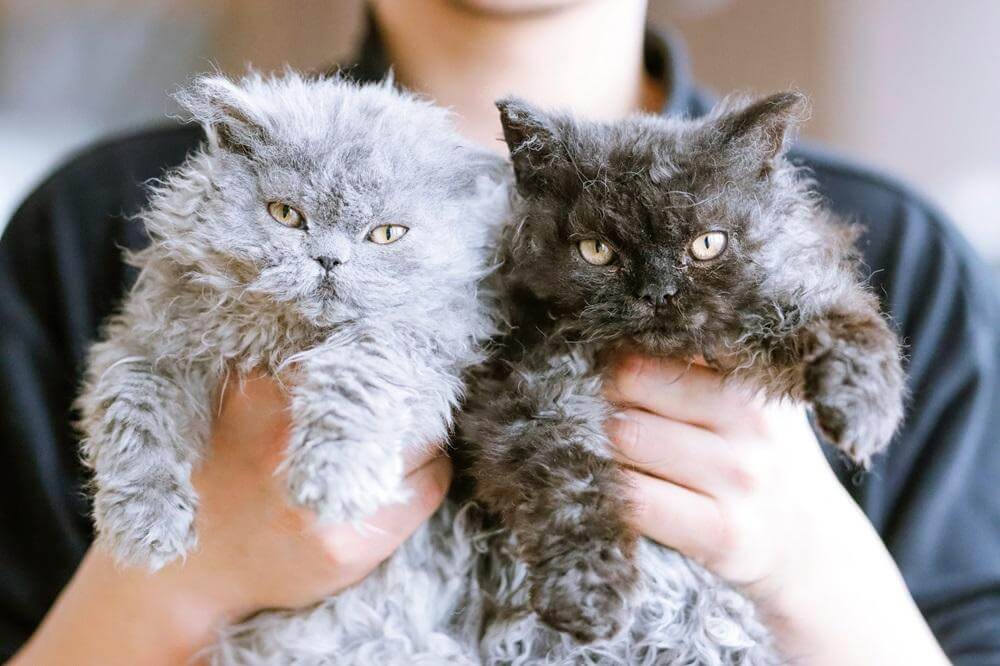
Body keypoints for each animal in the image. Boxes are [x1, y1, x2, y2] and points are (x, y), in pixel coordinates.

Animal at [76, 71, 508, 660]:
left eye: (386, 234)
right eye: (286, 215)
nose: (328, 259)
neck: (283, 340)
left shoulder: (411, 348)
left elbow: (353, 381)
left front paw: (331, 478)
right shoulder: (142, 345)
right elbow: (133, 414)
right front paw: (146, 521)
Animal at [460, 91, 908, 652]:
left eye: (707, 244)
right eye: (597, 251)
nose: (657, 294)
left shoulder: (783, 294)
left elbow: (849, 324)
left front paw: (861, 407)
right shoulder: (531, 400)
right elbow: (573, 492)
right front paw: (588, 592)